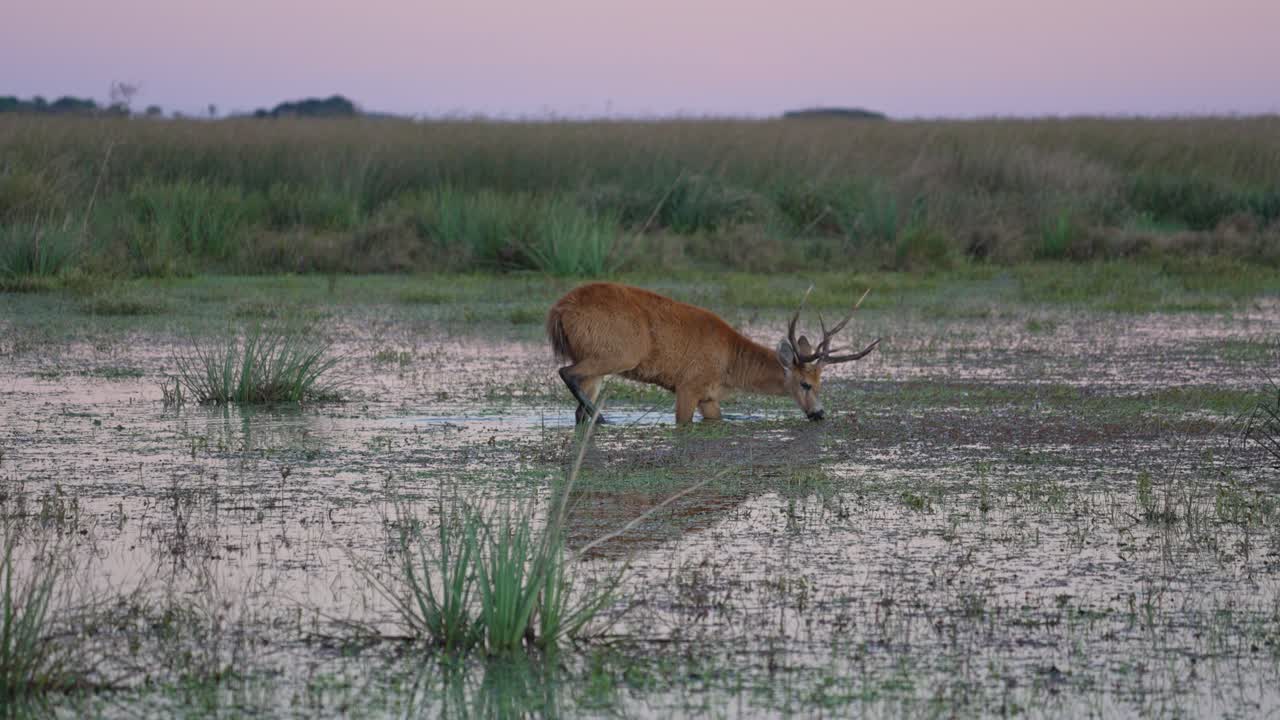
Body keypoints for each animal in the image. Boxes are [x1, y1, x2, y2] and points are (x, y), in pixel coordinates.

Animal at [546, 282, 880, 425]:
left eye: (822, 384)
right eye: (805, 384)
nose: (819, 413)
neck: (729, 364)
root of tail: (559, 310)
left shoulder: (709, 396)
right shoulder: (688, 385)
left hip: (597, 362)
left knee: (577, 408)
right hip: (616, 353)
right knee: (566, 373)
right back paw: (604, 419)